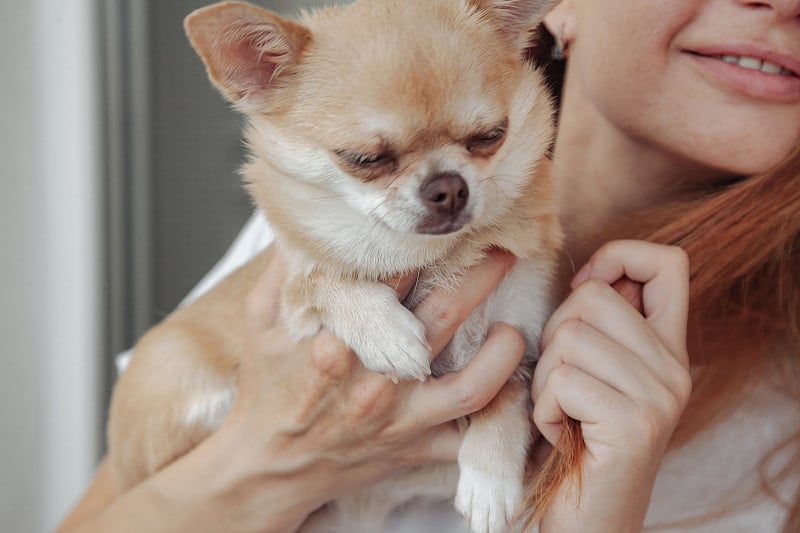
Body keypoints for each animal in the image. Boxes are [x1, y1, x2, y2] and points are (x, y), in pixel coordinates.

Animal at [109, 2, 564, 528]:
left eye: (490, 136)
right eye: (366, 159)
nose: (449, 187)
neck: (429, 257)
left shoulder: (520, 343)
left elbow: (507, 397)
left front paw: (490, 481)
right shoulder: (292, 305)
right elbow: (323, 276)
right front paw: (385, 331)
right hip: (176, 374)